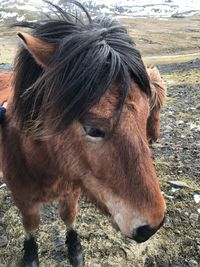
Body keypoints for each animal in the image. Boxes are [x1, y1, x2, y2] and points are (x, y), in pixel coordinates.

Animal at [0, 2, 166, 267]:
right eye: (92, 129)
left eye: (146, 113)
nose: (153, 225)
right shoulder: (25, 201)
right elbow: (31, 227)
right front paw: (30, 254)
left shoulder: (73, 189)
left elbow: (68, 217)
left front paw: (74, 247)